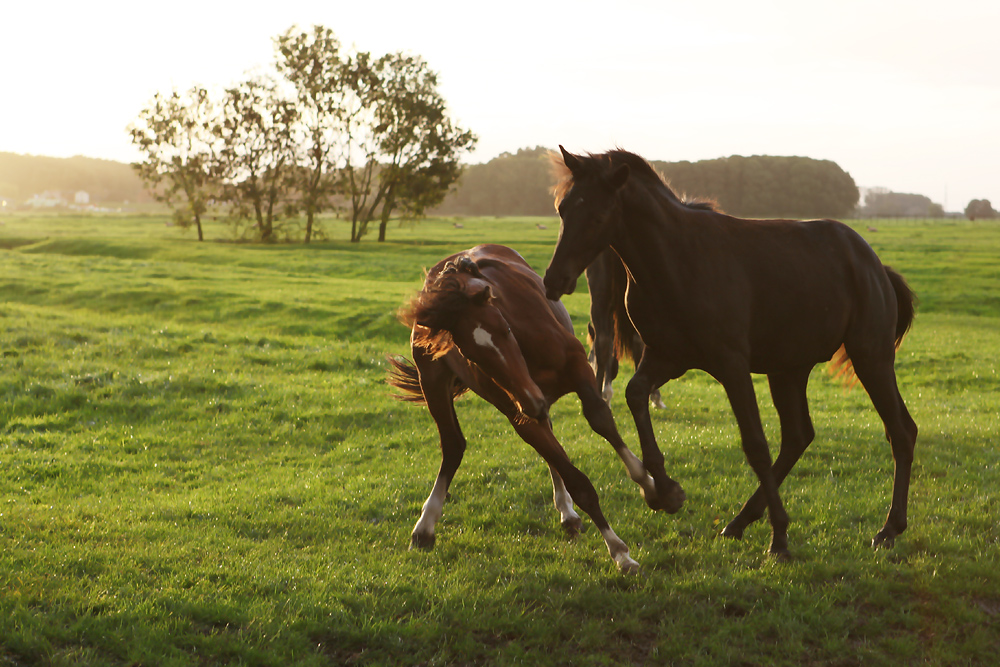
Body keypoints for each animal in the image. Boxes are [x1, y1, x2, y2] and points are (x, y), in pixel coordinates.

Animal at [390, 245, 672, 576]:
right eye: (470, 354)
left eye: (506, 329)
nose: (532, 402)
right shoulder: (518, 412)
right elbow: (577, 480)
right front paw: (619, 552)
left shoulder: (578, 370)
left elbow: (601, 420)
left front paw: (652, 488)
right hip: (433, 382)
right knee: (454, 445)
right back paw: (425, 526)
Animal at [544, 147, 916, 560]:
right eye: (562, 209)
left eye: (597, 215)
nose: (554, 280)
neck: (676, 261)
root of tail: (876, 266)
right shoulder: (667, 356)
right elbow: (635, 394)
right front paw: (663, 491)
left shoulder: (731, 364)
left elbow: (755, 443)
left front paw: (780, 539)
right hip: (788, 369)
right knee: (798, 436)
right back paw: (740, 521)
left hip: (871, 356)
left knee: (900, 431)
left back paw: (888, 529)